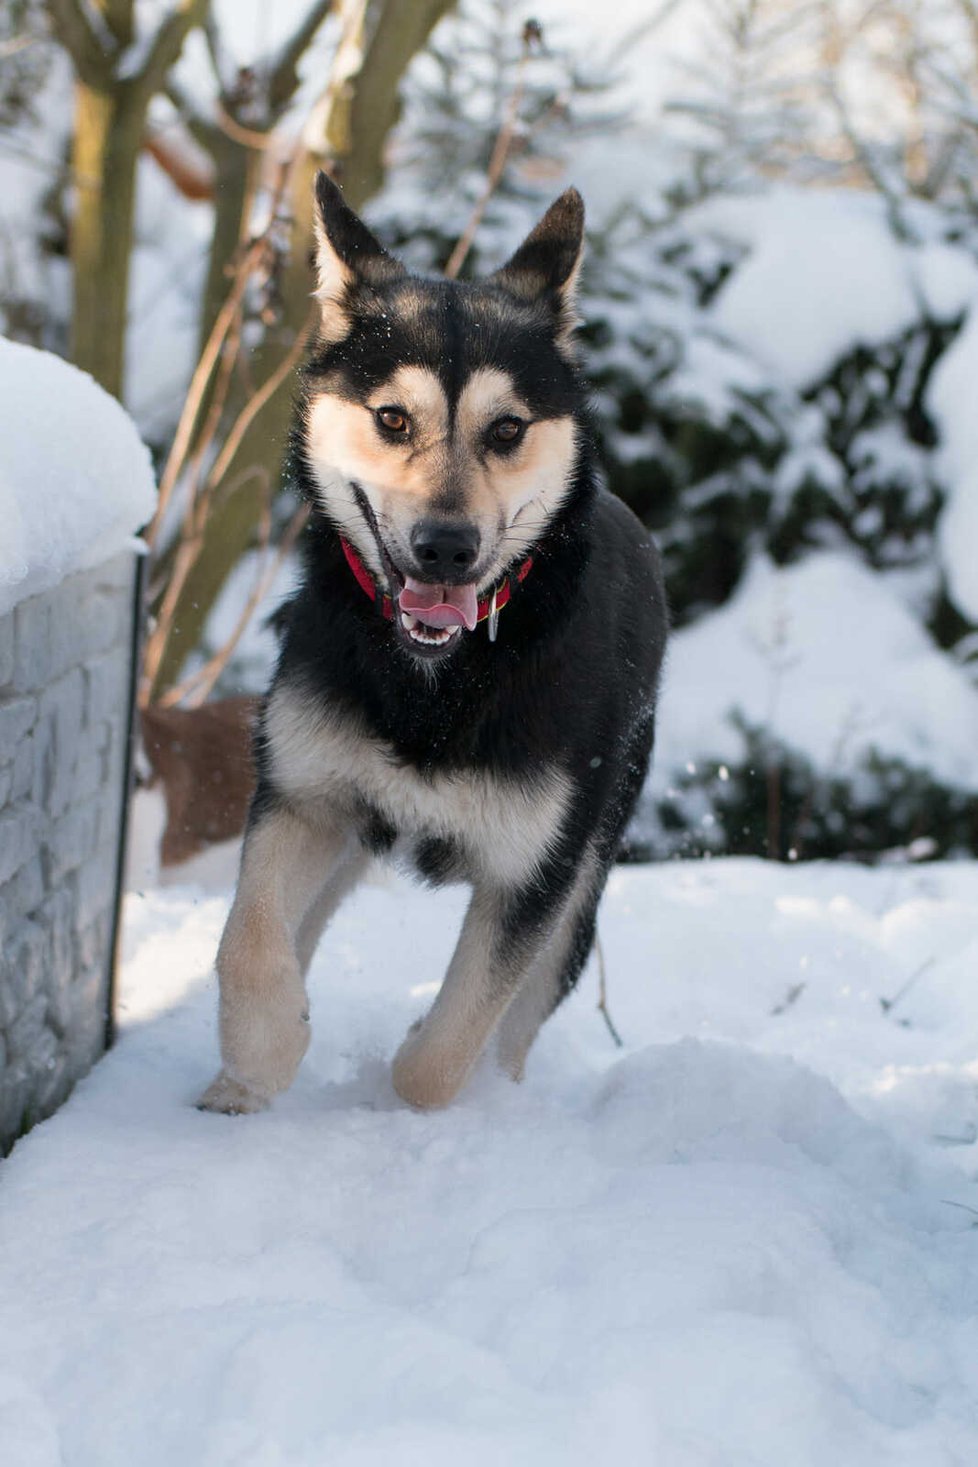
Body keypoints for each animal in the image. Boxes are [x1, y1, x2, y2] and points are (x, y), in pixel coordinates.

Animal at [202, 171, 668, 1109]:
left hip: (587, 873)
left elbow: (447, 1050)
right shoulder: (303, 794)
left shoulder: (535, 872)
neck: (441, 675)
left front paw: (425, 1073)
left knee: (524, 1013)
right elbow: (249, 942)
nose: (445, 547)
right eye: (390, 418)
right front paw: (263, 1054)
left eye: (508, 429)